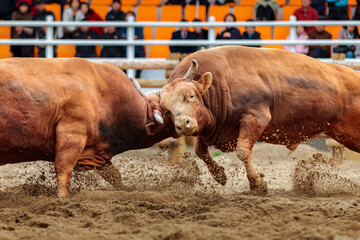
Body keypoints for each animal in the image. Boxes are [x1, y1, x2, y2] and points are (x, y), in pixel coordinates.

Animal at [0, 57, 174, 197]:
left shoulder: (97, 154)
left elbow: (114, 175)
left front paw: (126, 190)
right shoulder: (72, 134)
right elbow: (63, 170)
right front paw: (62, 199)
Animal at [160, 45, 360, 193]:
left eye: (191, 95)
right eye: (167, 110)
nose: (182, 124)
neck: (221, 84)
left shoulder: (255, 118)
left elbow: (242, 152)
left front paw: (257, 183)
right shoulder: (211, 128)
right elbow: (199, 151)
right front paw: (219, 175)